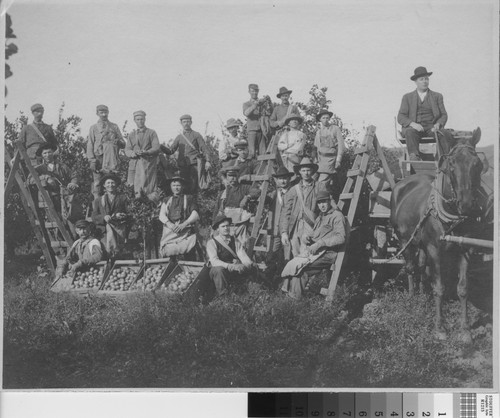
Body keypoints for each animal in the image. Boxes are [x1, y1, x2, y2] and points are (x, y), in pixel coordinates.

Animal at [390, 129, 488, 342]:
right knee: (410, 268)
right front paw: (440, 328)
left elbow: (463, 288)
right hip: (404, 239)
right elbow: (439, 288)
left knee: (421, 267)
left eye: (477, 164)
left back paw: (422, 295)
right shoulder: (434, 250)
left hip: (420, 243)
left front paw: (465, 330)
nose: (467, 205)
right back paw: (412, 298)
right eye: (451, 165)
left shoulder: (465, 249)